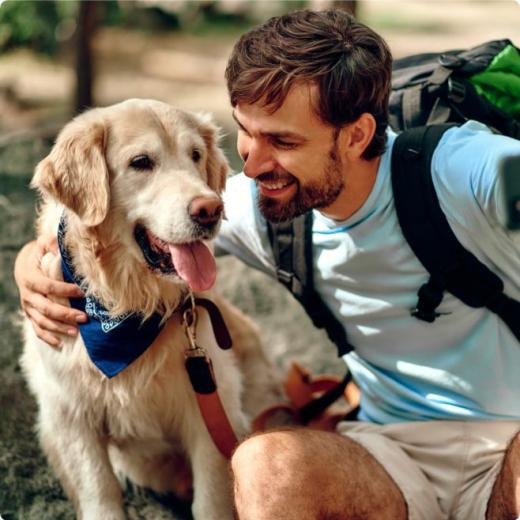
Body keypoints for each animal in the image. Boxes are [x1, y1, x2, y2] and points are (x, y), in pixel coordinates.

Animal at [21, 98, 284, 520]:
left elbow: (211, 499)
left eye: (195, 155)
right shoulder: (71, 417)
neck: (129, 308)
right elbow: (100, 492)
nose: (210, 209)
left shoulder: (211, 410)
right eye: (141, 162)